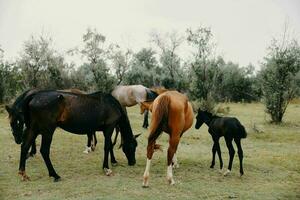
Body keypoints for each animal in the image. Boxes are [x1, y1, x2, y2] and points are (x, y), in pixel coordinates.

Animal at [5, 90, 139, 182]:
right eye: (133, 146)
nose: (133, 162)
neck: (112, 104)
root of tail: (34, 96)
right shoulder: (109, 128)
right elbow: (107, 147)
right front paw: (107, 168)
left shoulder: (107, 130)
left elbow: (110, 145)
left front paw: (114, 161)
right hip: (47, 130)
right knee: (44, 150)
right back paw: (55, 175)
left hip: (34, 129)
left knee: (25, 146)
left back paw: (23, 173)